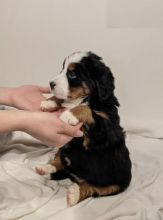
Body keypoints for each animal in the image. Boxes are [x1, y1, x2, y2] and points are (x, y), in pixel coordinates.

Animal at [36, 51, 132, 206]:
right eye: (62, 69)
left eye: (72, 74)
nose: (51, 84)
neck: (85, 97)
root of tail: (76, 176)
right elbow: (64, 99)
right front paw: (49, 102)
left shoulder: (103, 133)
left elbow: (87, 109)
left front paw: (69, 114)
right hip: (65, 151)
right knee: (61, 162)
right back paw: (46, 168)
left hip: (117, 184)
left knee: (94, 188)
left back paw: (74, 193)